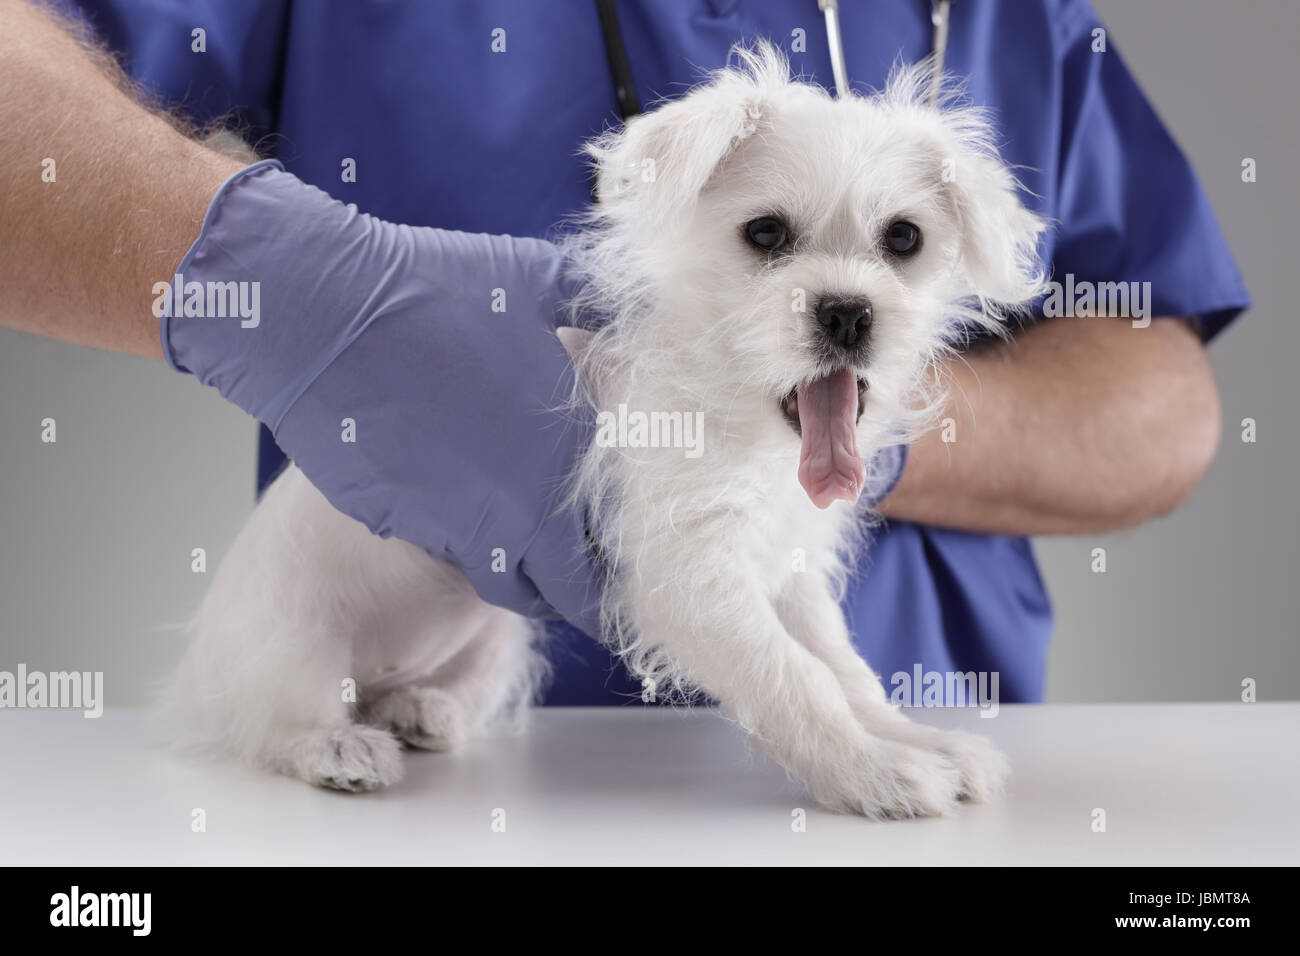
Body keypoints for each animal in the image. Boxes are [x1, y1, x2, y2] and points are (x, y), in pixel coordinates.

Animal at [165, 44, 1045, 816]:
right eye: (765, 234)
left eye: (904, 239)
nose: (848, 313)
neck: (737, 416)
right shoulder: (686, 578)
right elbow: (799, 680)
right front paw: (875, 772)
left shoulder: (787, 571)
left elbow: (847, 670)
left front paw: (918, 741)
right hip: (296, 636)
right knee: (276, 720)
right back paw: (336, 745)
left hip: (496, 636)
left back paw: (418, 710)